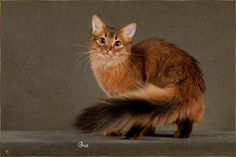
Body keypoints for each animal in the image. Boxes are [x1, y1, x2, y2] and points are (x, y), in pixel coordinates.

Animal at [74, 14, 205, 139]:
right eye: (102, 40)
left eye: (117, 43)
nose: (107, 49)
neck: (109, 68)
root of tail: (190, 75)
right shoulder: (114, 95)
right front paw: (114, 131)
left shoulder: (133, 91)